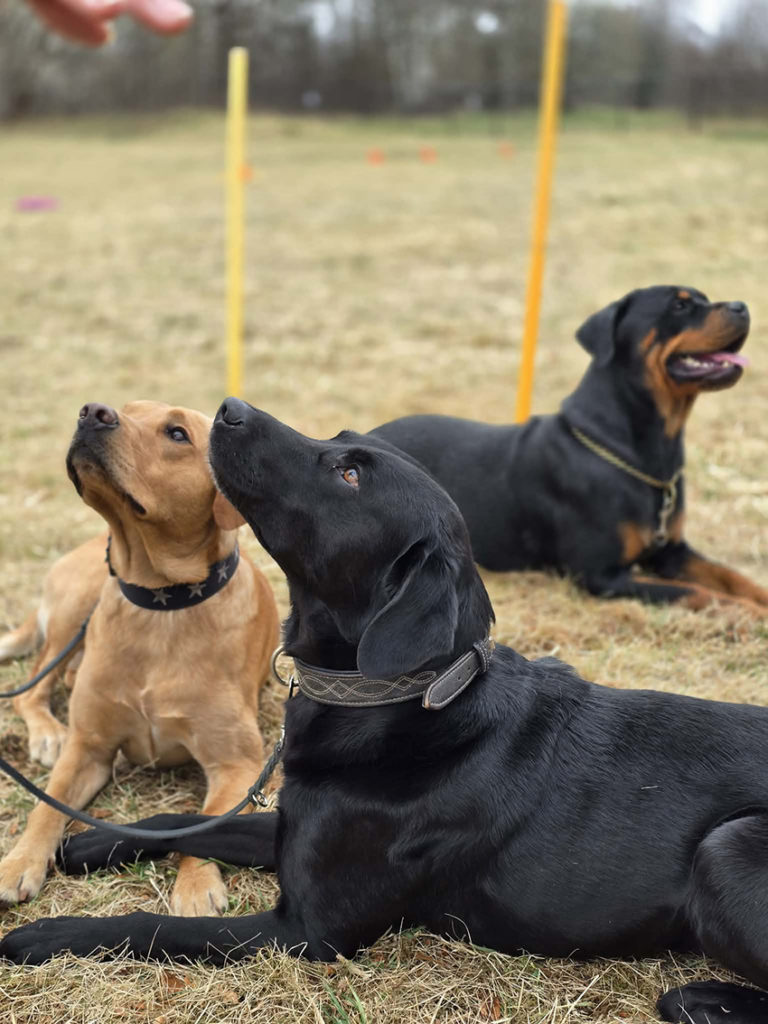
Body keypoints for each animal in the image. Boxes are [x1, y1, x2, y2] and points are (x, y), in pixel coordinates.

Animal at [0, 400, 279, 916]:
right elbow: (47, 805)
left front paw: (195, 886)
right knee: (32, 686)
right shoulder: (88, 747)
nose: (93, 412)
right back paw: (47, 732)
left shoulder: (238, 765)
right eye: (128, 409)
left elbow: (206, 822)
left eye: (177, 433)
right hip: (77, 607)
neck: (160, 604)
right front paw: (18, 862)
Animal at [372, 285, 768, 611]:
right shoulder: (602, 575)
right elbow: (699, 593)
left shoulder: (671, 551)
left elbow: (732, 577)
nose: (742, 306)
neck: (644, 449)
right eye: (680, 305)